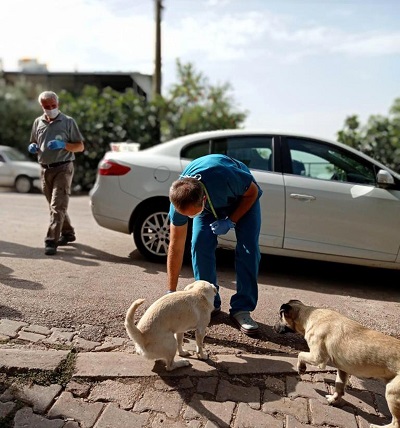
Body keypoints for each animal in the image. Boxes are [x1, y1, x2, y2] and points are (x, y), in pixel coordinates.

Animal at [276, 300, 400, 428]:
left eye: (279, 317)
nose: (274, 328)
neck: (308, 315)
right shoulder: (342, 369)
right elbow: (339, 386)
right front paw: (333, 399)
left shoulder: (318, 358)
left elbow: (300, 354)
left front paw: (301, 368)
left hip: (392, 392)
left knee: (396, 423)